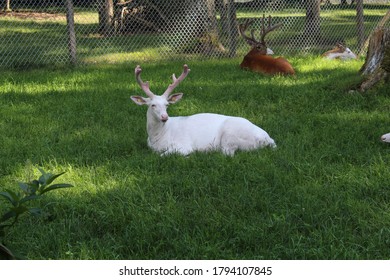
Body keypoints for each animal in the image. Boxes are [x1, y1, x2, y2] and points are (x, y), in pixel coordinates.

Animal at [132, 65, 278, 156]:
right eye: (153, 105)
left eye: (167, 105)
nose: (164, 117)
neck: (157, 139)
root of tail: (268, 139)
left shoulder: (183, 145)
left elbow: (163, 155)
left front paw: (189, 156)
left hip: (231, 136)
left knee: (228, 153)